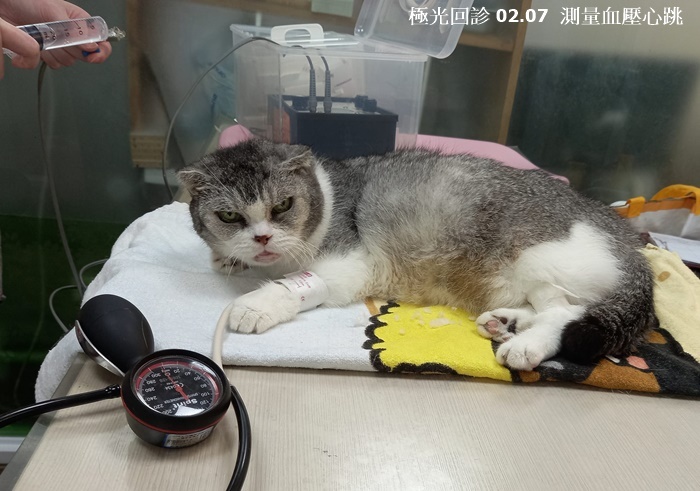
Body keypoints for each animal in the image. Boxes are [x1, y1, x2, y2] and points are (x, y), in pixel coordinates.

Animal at [178, 138, 658, 370]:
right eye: (229, 215)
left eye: (282, 206)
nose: (261, 238)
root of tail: (629, 239)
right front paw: (229, 257)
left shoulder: (348, 264)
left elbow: (290, 286)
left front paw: (256, 303)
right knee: (550, 308)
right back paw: (505, 323)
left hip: (539, 257)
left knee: (565, 311)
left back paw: (526, 345)